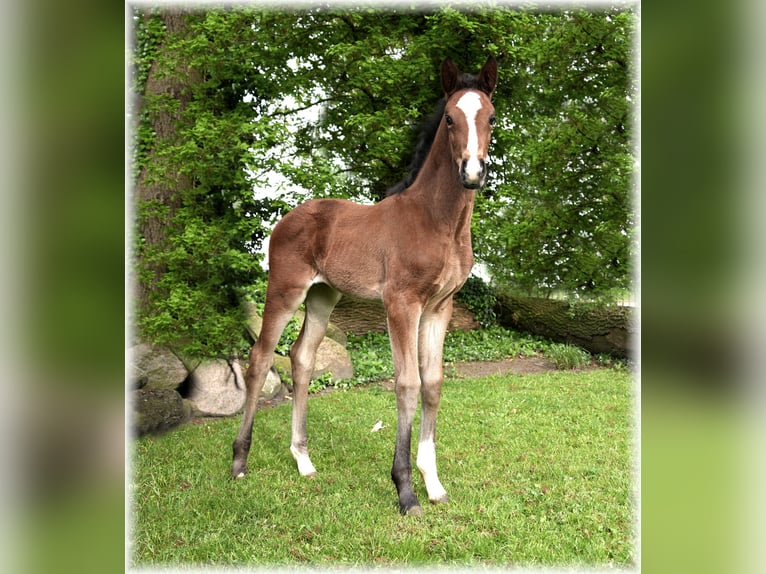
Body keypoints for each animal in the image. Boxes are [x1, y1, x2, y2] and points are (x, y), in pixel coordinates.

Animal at [231, 57, 500, 516]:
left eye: (492, 117)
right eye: (449, 118)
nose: (472, 172)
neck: (438, 222)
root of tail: (287, 218)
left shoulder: (440, 307)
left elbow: (433, 383)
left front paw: (434, 484)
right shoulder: (401, 303)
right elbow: (407, 384)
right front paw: (406, 490)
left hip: (323, 296)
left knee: (302, 358)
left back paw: (303, 461)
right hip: (285, 290)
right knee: (260, 358)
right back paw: (239, 461)